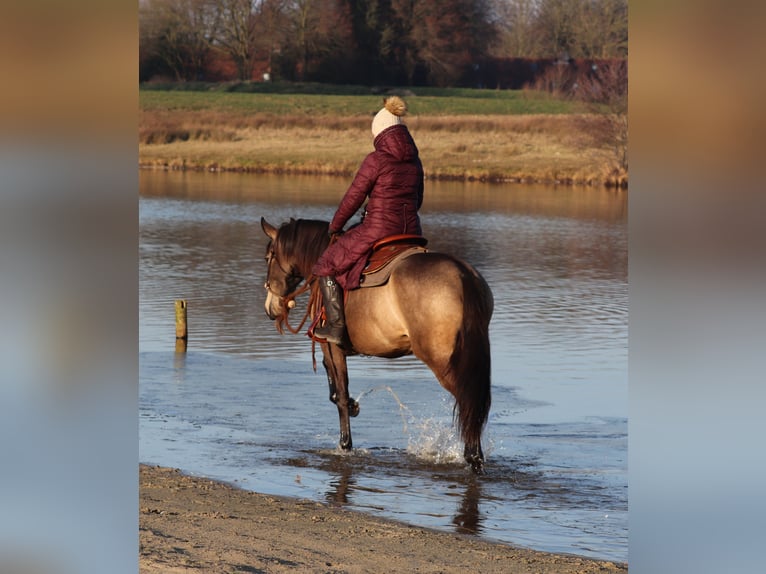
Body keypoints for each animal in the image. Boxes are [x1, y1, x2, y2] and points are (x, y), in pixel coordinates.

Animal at [260, 218, 496, 474]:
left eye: (268, 257)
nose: (270, 308)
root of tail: (463, 276)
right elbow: (336, 393)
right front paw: (353, 407)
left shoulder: (331, 347)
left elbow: (340, 396)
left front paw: (345, 445)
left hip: (443, 361)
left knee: (468, 402)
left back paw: (472, 456)